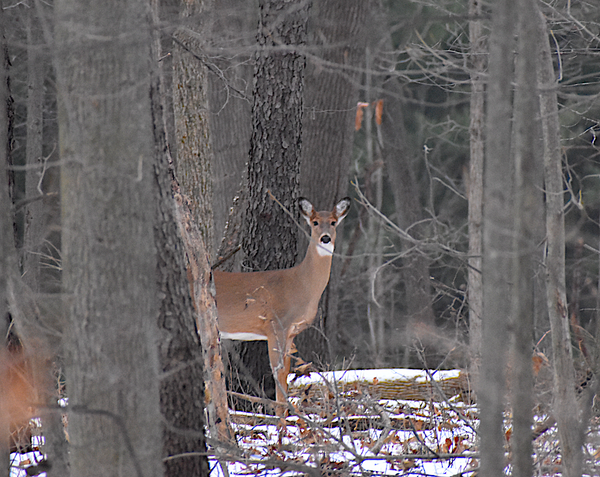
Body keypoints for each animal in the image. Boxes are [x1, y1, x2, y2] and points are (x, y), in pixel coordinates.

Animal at [213, 195, 350, 410]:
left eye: (333, 222)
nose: (325, 238)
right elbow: (277, 373)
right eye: (315, 222)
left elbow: (285, 373)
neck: (300, 284)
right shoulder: (275, 325)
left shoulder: (291, 331)